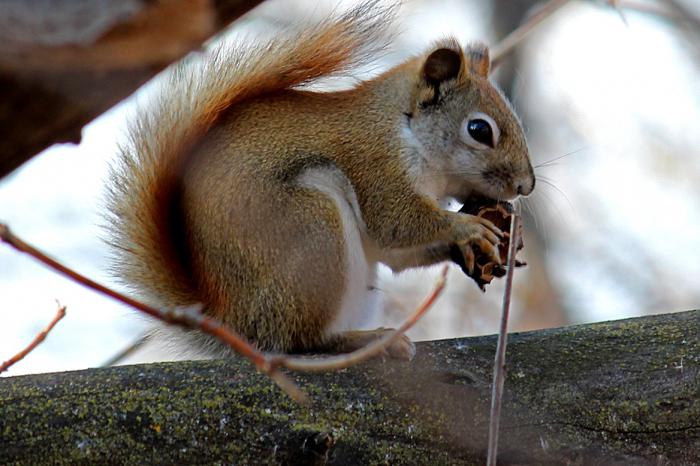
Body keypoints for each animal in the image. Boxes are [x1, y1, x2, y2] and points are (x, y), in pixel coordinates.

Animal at [108, 2, 536, 360]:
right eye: (479, 130)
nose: (525, 186)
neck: (404, 128)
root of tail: (237, 322)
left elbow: (395, 254)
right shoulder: (374, 165)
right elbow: (395, 223)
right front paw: (467, 227)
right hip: (313, 228)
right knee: (300, 341)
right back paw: (365, 340)